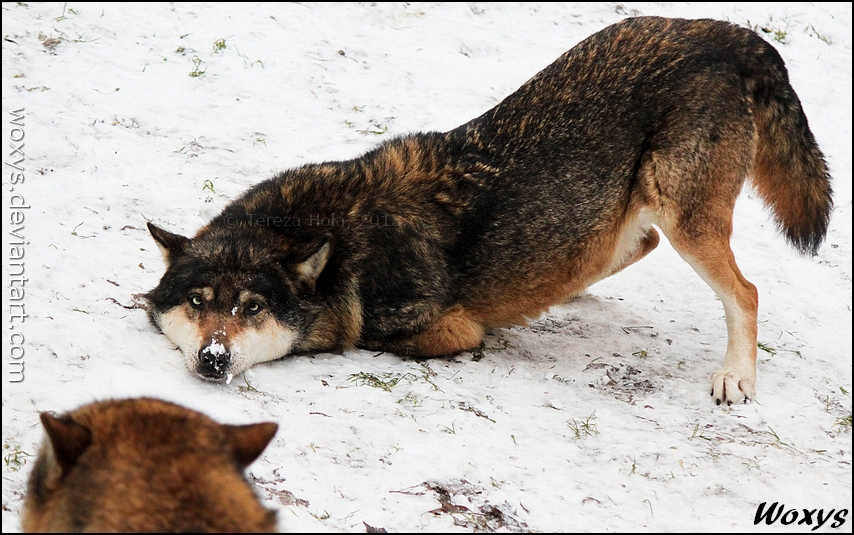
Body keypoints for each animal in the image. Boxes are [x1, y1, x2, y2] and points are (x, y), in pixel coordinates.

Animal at [147, 16, 836, 406]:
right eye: (199, 302)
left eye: (252, 308)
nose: (214, 358)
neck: (344, 242)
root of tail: (729, 33)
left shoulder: (448, 331)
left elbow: (384, 339)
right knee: (635, 245)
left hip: (683, 214)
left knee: (744, 291)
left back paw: (736, 379)